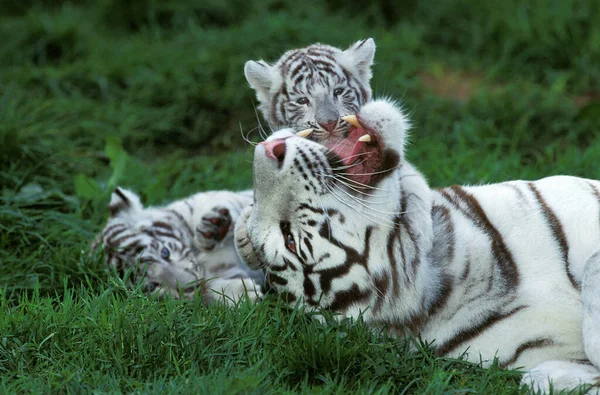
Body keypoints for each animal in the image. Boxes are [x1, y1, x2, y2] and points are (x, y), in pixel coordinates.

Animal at [92, 187, 262, 304]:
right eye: (151, 286)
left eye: (165, 252)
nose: (191, 285)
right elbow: (208, 290)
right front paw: (244, 295)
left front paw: (215, 227)